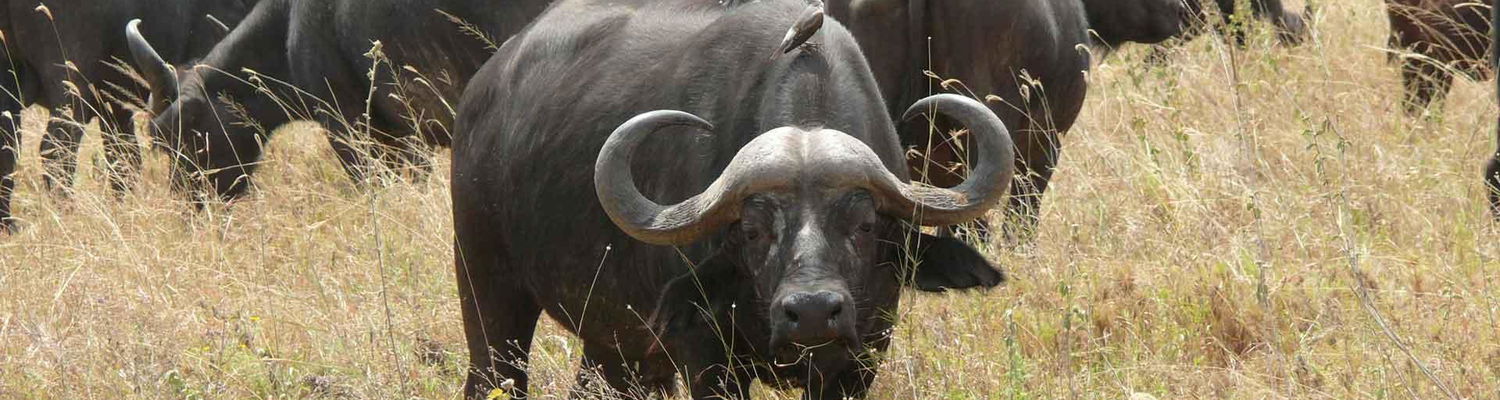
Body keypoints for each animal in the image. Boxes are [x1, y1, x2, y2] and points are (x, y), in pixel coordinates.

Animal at [0, 0, 253, 232]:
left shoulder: (114, 104)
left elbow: (124, 159)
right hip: (71, 78)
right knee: (56, 151)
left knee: (8, 150)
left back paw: (9, 225)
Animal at [444, 1, 1008, 398]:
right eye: (753, 231)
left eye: (865, 226)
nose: (811, 312)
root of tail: (483, 93)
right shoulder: (707, 357)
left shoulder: (861, 360)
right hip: (488, 291)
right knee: (493, 374)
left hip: (613, 342)